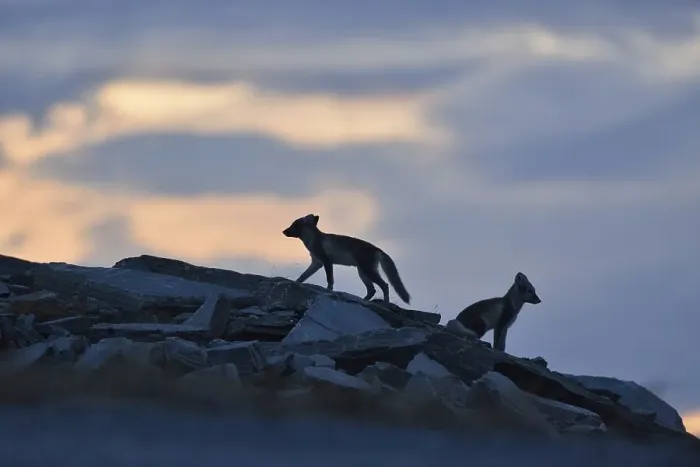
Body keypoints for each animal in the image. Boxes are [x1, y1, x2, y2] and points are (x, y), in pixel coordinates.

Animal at [282, 214, 411, 305]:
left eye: (294, 224)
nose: (283, 231)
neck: (313, 240)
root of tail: (377, 249)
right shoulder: (316, 263)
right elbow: (303, 276)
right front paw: (296, 282)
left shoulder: (326, 262)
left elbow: (330, 279)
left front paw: (329, 290)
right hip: (363, 273)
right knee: (372, 290)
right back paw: (364, 300)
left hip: (367, 271)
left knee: (385, 285)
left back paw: (385, 302)